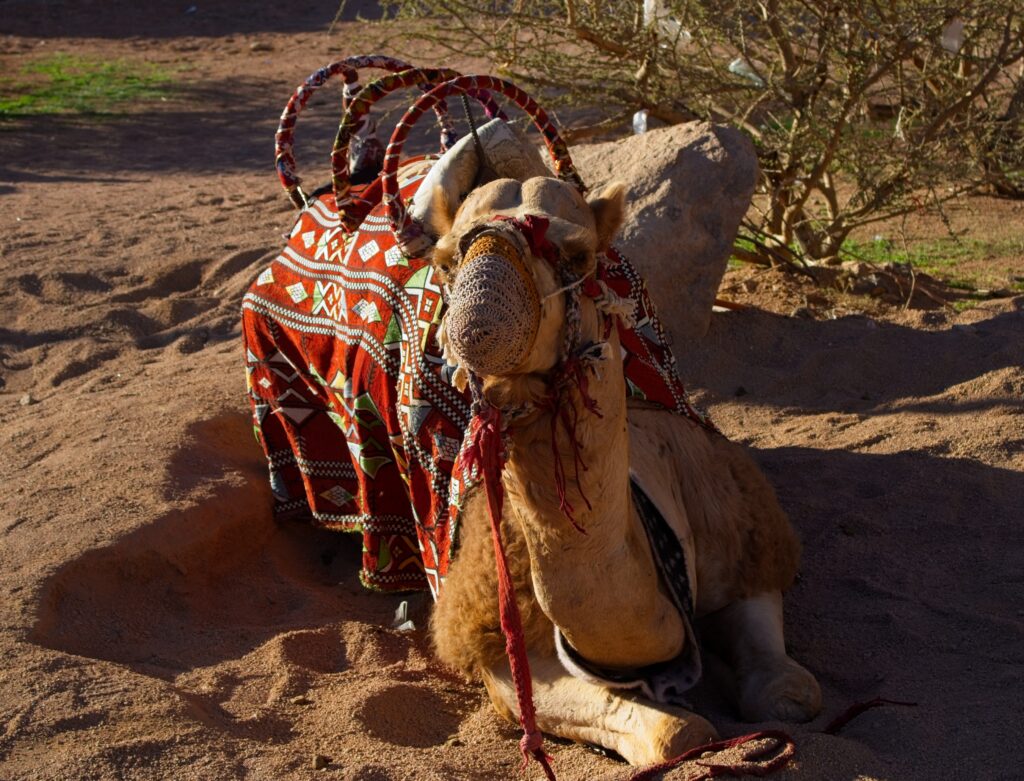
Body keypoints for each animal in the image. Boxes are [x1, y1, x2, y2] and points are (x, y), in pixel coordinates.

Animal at [421, 175, 822, 765]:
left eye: (580, 255)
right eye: (445, 261)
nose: (479, 323)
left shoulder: (735, 530)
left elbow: (789, 692)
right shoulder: (490, 638)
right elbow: (674, 733)